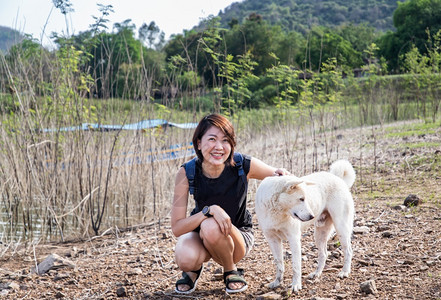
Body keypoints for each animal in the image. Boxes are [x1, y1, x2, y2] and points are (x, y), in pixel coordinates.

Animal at [254, 161, 354, 292]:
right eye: (301, 199)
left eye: (305, 198)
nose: (312, 216)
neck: (277, 210)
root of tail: (337, 178)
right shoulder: (272, 239)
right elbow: (279, 263)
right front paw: (277, 282)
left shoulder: (294, 238)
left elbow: (296, 265)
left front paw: (296, 285)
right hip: (320, 235)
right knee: (324, 254)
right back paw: (316, 274)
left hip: (341, 228)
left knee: (348, 251)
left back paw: (345, 272)